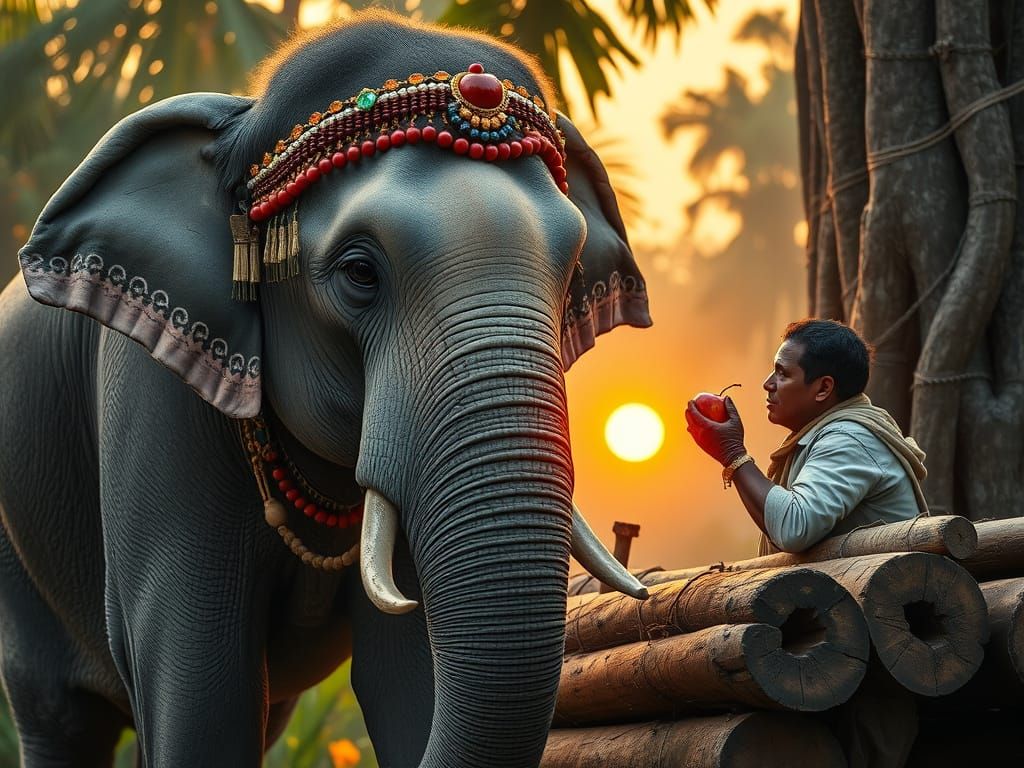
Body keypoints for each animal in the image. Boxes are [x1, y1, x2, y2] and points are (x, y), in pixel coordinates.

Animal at [0, 10, 652, 768]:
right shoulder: (153, 399)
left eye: (572, 271)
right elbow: (200, 696)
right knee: (59, 713)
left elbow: (406, 681)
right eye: (360, 272)